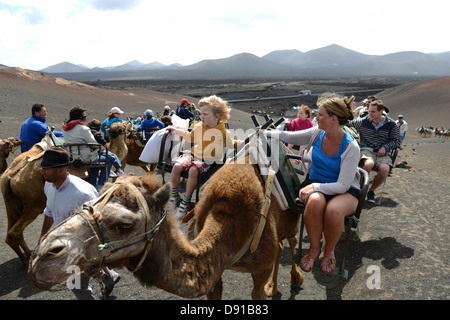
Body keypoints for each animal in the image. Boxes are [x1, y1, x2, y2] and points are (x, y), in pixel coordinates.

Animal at [27, 162, 302, 300]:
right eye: (90, 201)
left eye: (123, 225)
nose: (43, 256)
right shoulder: (216, 271)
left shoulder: (259, 270)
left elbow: (258, 291)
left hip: (293, 221)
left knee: (289, 242)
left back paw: (292, 280)